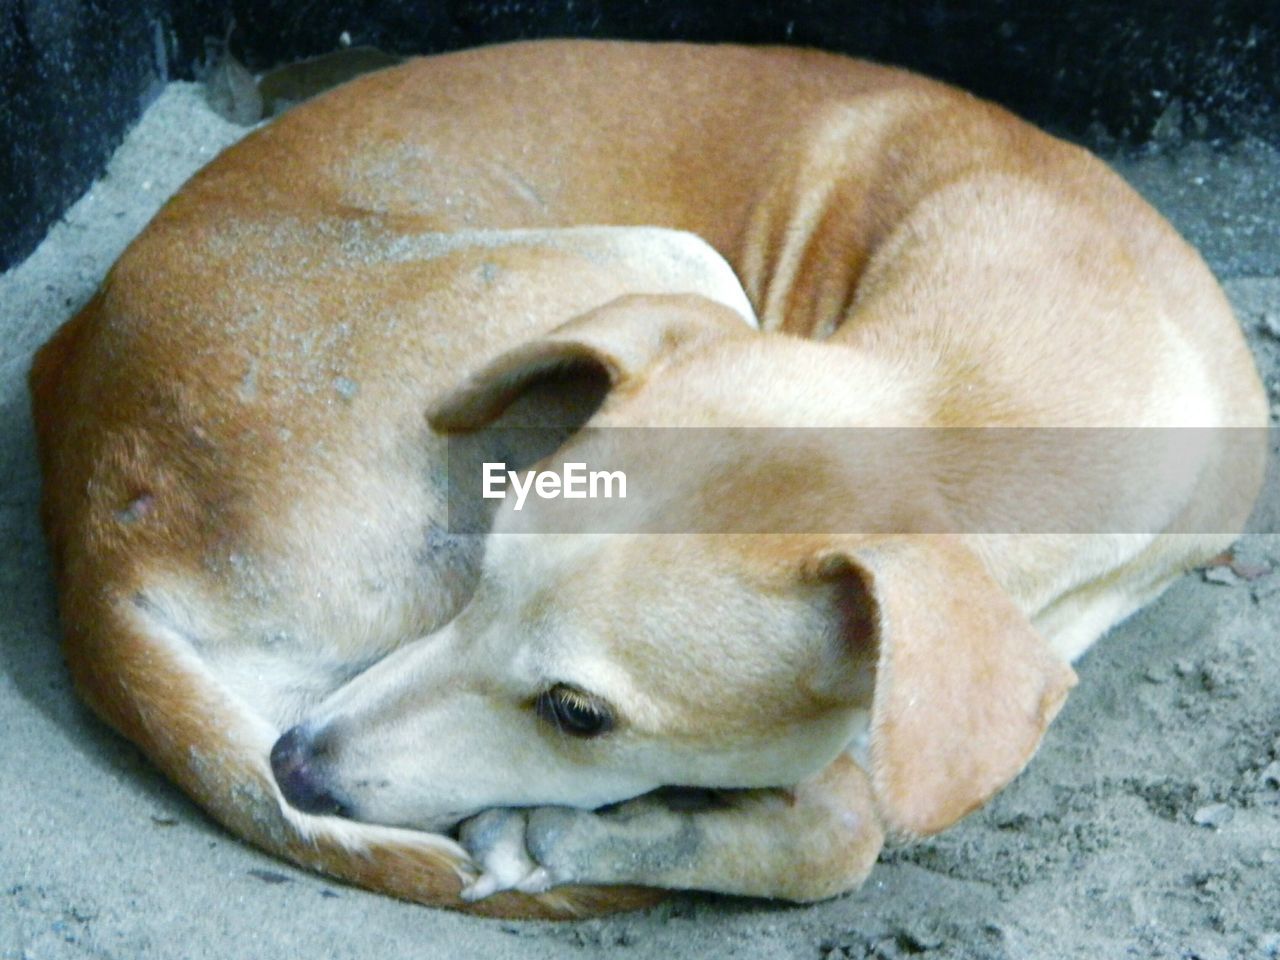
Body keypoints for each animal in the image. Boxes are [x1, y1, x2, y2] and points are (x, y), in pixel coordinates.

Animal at [30, 39, 1269, 916]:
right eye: (483, 570)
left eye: (579, 714)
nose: (295, 766)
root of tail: (97, 535)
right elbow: (843, 826)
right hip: (662, 254)